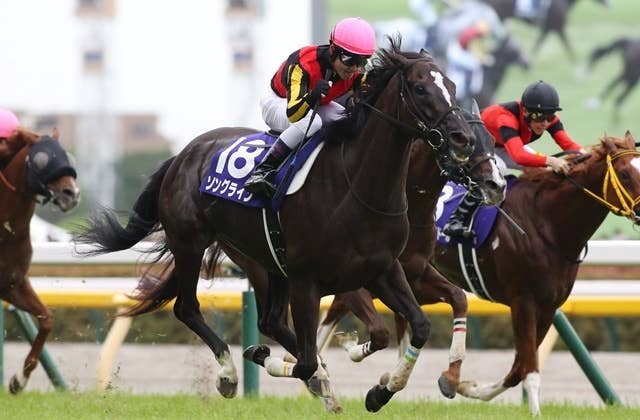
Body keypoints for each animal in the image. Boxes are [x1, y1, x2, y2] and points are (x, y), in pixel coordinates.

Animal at [0, 127, 80, 393]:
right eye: (42, 159)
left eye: (67, 156)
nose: (71, 194)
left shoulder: (12, 283)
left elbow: (47, 319)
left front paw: (18, 380)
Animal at [73, 40, 476, 411]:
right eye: (421, 88)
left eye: (453, 86)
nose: (463, 138)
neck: (356, 186)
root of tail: (184, 154)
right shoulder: (308, 280)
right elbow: (308, 360)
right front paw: (269, 360)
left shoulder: (382, 269)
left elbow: (419, 327)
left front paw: (380, 391)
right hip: (191, 243)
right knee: (188, 309)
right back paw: (230, 374)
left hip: (268, 261)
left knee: (271, 322)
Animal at [482, 0, 611, 60]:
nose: (609, 4)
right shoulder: (559, 28)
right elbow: (568, 47)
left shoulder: (547, 29)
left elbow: (537, 45)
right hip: (499, 17)